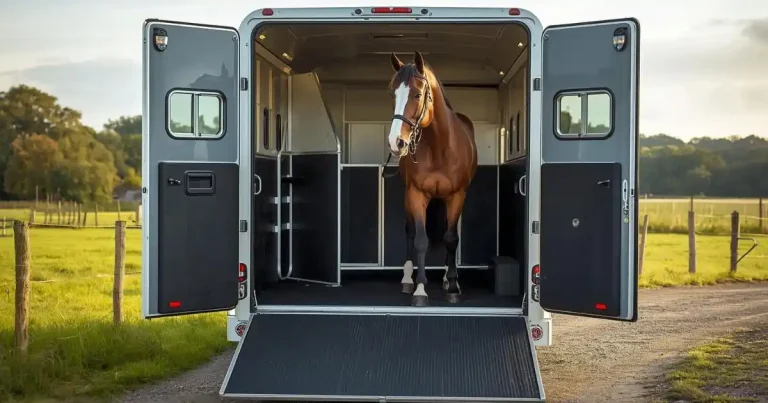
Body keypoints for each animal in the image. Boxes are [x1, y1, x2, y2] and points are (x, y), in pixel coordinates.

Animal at [386, 51, 477, 307]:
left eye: (417, 94)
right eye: (393, 94)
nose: (396, 142)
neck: (440, 148)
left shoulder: (457, 195)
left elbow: (451, 239)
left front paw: (453, 287)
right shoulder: (417, 194)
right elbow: (420, 239)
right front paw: (419, 290)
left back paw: (447, 278)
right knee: (409, 230)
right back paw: (407, 279)